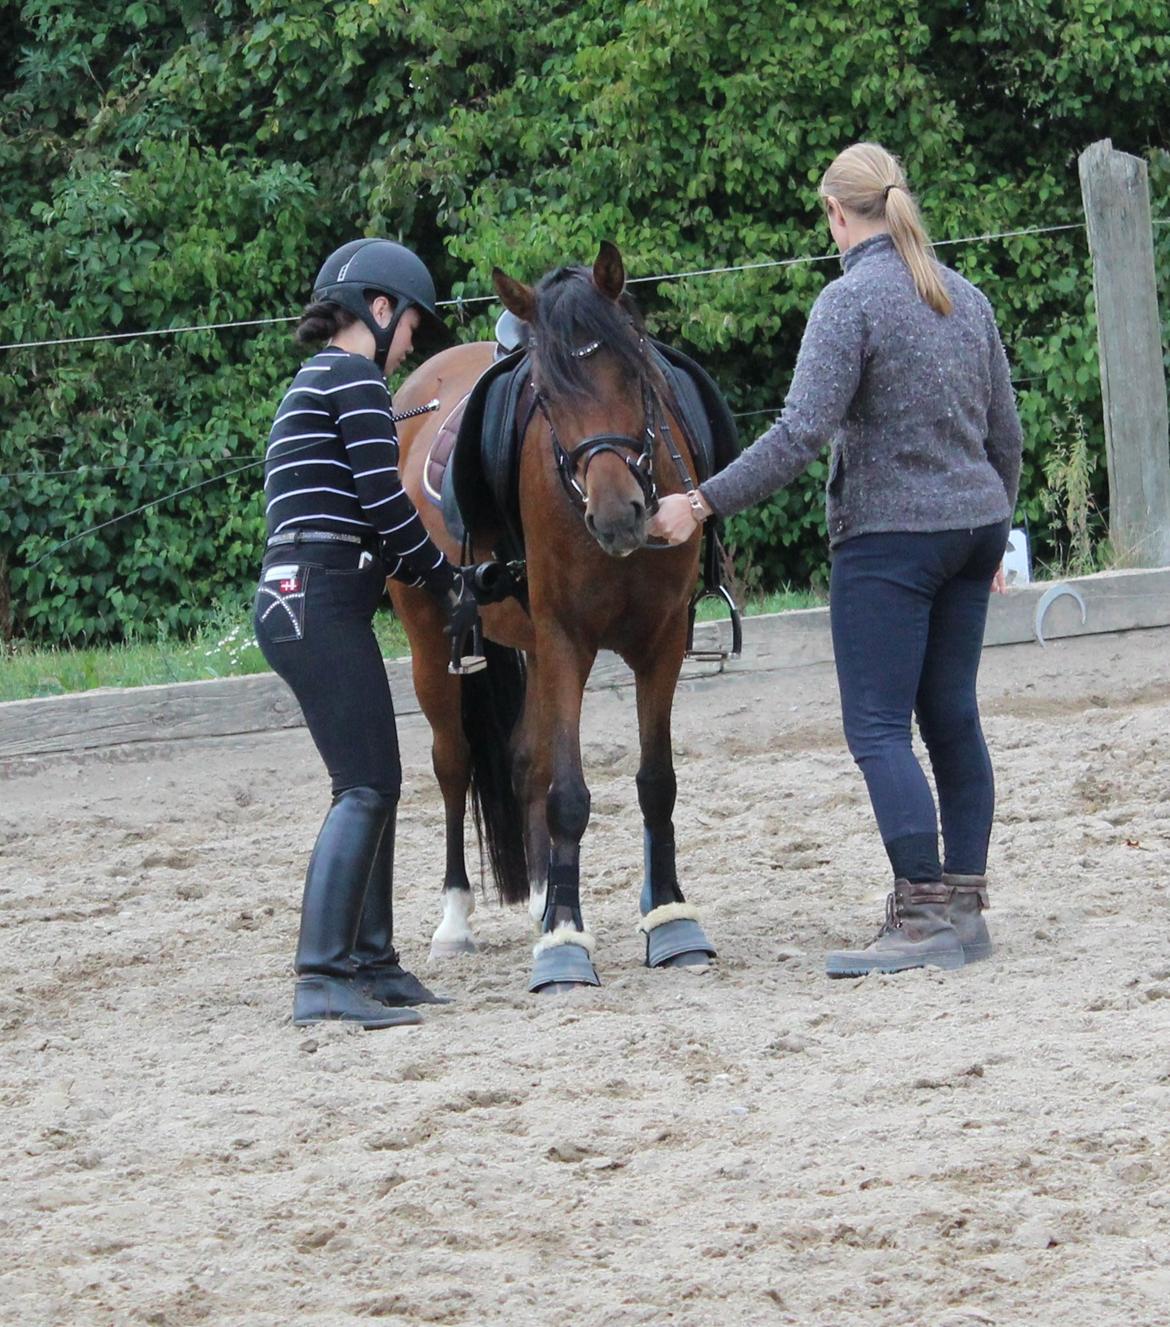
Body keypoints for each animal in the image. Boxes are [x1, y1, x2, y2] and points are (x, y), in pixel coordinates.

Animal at [387, 238, 716, 992]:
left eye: (635, 370)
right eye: (547, 395)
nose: (619, 515)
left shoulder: (661, 643)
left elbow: (655, 784)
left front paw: (669, 918)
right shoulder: (566, 639)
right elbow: (568, 791)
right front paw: (566, 939)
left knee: (522, 761)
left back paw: (543, 893)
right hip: (430, 640)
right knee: (453, 763)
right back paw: (457, 921)